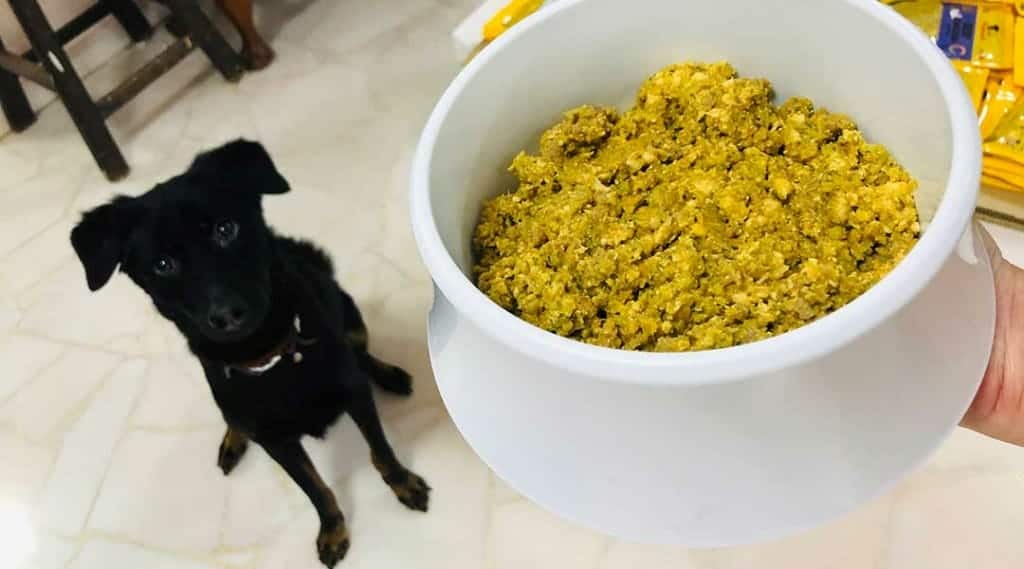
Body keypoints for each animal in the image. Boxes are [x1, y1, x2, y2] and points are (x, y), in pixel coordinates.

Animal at [68, 139, 428, 564]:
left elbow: (381, 451)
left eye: (226, 229)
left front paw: (404, 484)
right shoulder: (276, 442)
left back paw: (388, 375)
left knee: (362, 353)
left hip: (350, 314)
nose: (226, 314)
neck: (269, 356)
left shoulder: (354, 395)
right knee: (235, 418)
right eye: (163, 264)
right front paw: (332, 530)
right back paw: (233, 438)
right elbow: (315, 489)